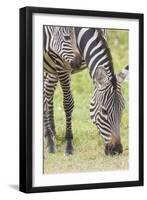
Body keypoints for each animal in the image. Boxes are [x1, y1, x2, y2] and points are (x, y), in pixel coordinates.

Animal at [43, 25, 128, 156]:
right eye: (104, 111)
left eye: (122, 109)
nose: (116, 150)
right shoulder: (62, 64)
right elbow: (68, 103)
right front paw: (69, 144)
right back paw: (49, 139)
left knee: (48, 89)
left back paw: (52, 133)